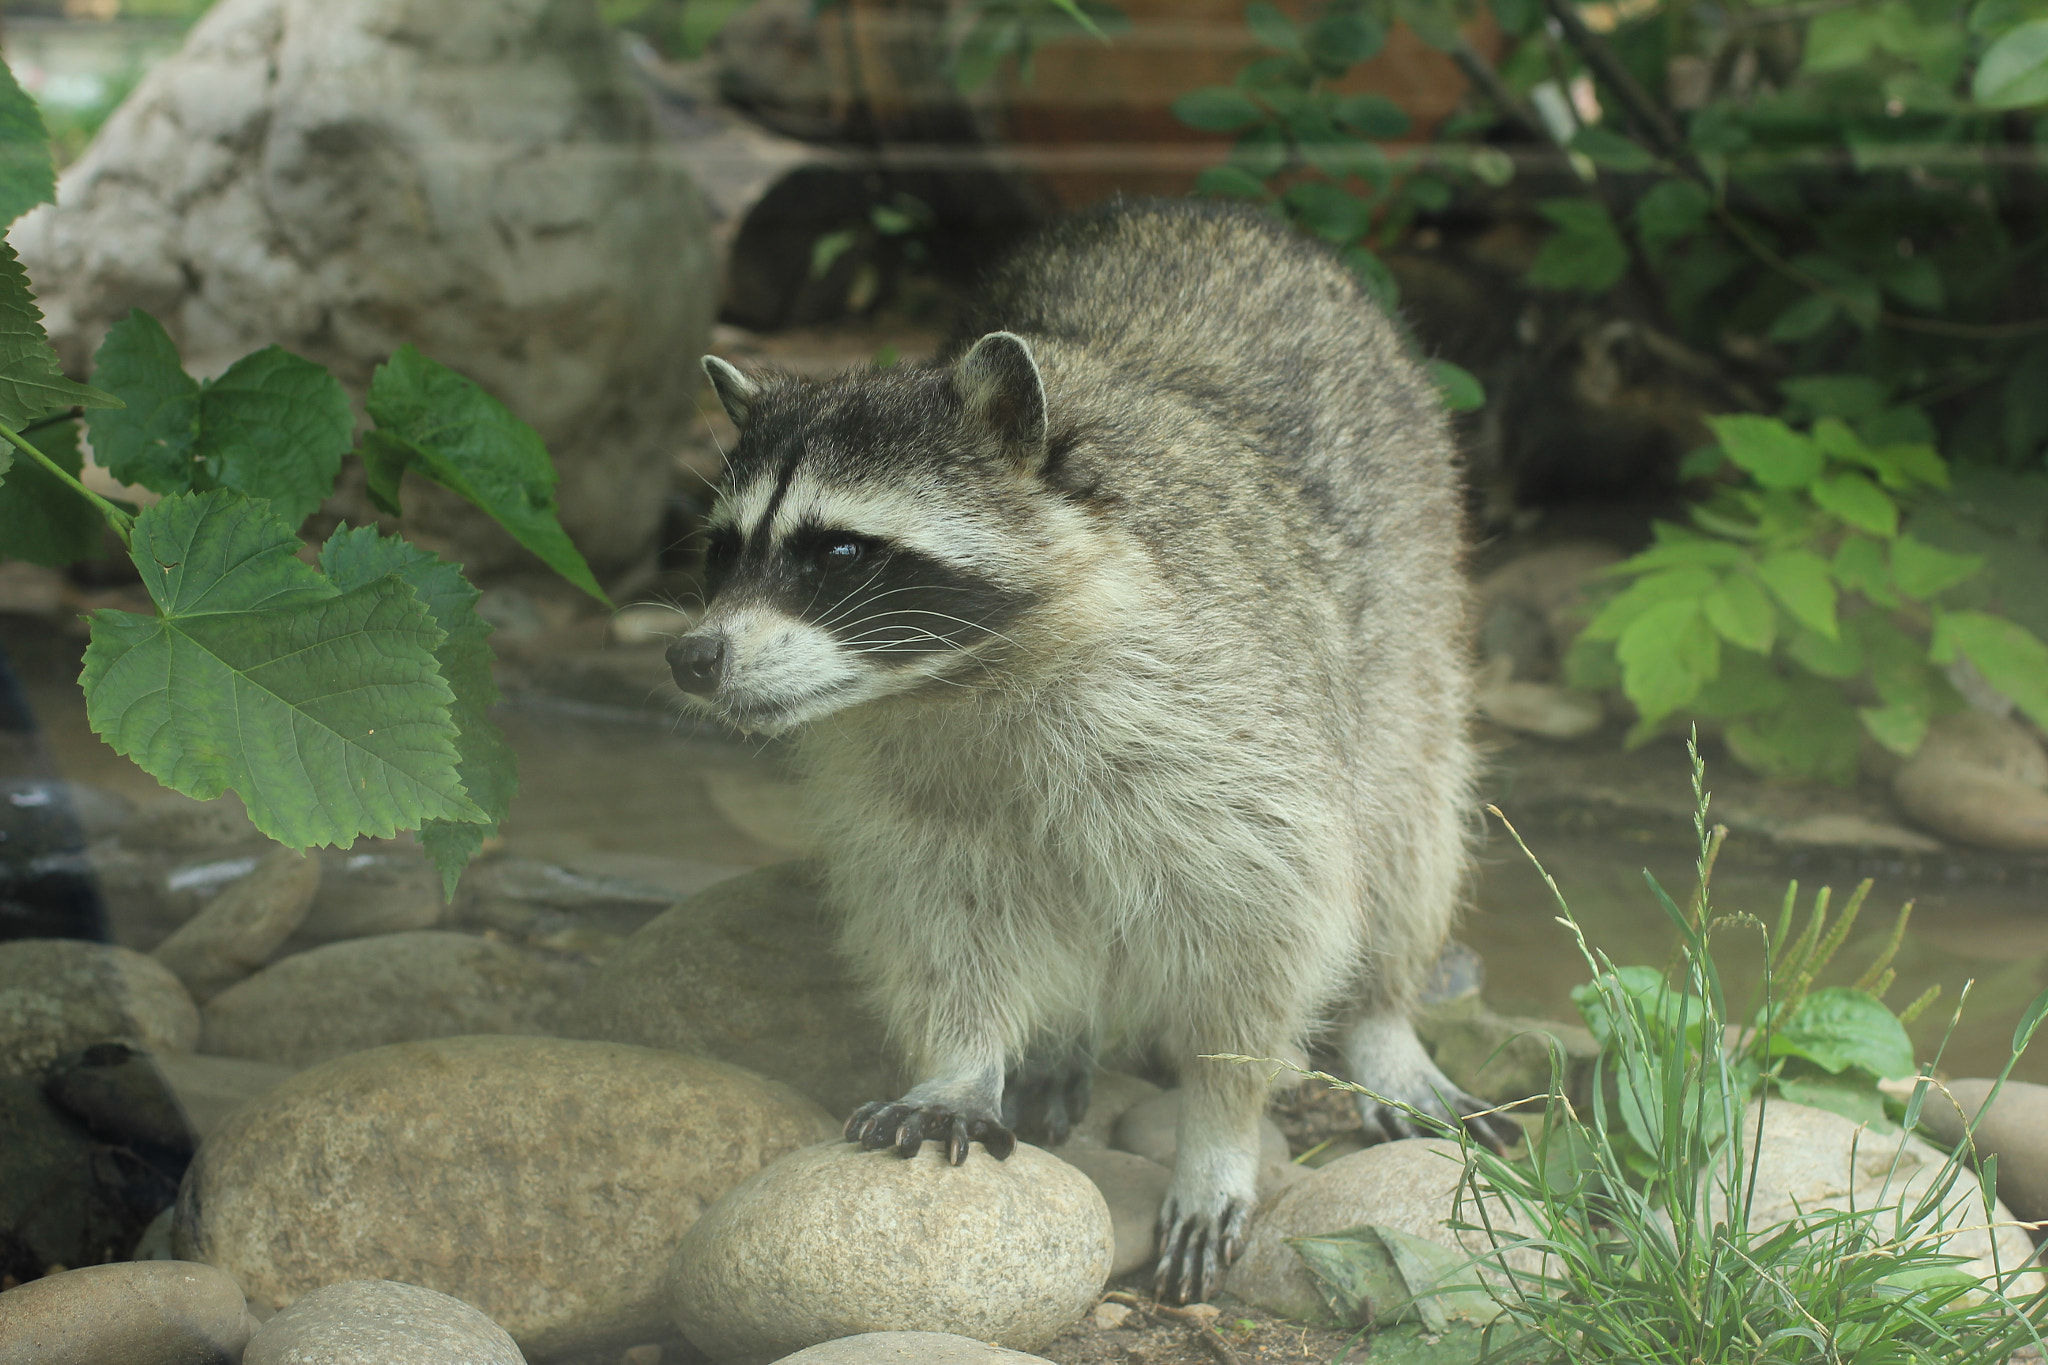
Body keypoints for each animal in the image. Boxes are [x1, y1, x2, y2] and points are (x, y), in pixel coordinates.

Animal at [671, 200, 1523, 1301]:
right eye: (722, 551)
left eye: (842, 552)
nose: (693, 657)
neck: (962, 680)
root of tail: (1209, 215)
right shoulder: (902, 772)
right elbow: (938, 912)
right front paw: (963, 1058)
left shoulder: (1227, 715)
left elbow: (1271, 926)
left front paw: (1221, 1127)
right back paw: (1060, 1040)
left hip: (1412, 600)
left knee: (1407, 819)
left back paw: (1384, 1014)